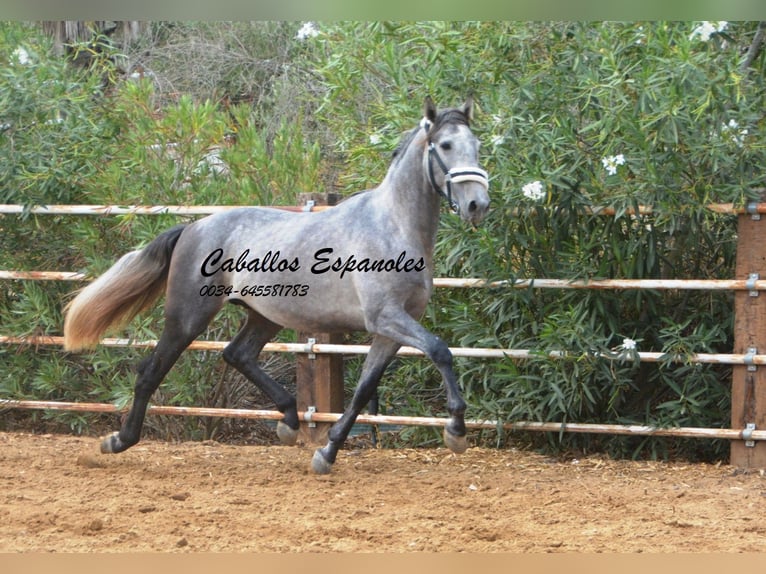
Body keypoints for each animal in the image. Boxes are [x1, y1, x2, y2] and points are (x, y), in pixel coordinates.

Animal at [61, 97, 492, 474]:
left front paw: (326, 453)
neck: (391, 226)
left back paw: (288, 420)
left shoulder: (390, 330)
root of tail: (194, 227)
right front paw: (456, 432)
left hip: (264, 314)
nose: (478, 206)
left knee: (237, 355)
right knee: (151, 371)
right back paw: (118, 441)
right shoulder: (385, 318)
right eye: (446, 145)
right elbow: (441, 351)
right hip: (188, 315)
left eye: (477, 146)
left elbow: (363, 390)